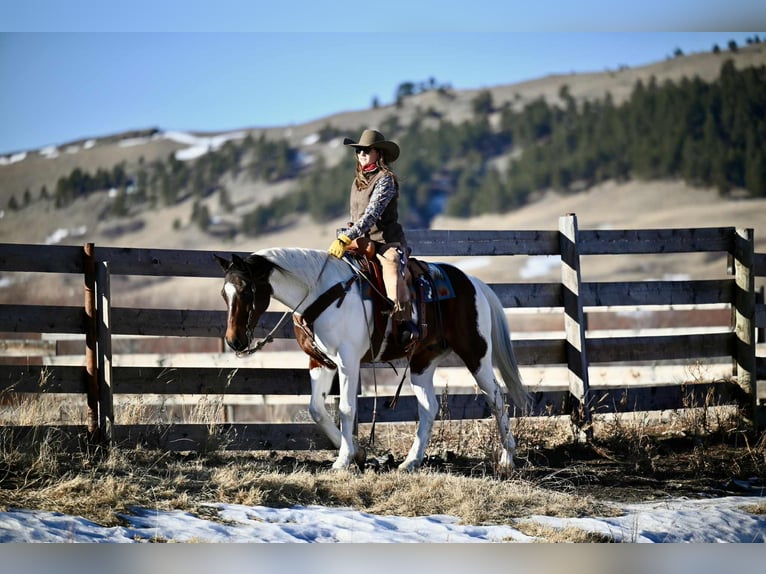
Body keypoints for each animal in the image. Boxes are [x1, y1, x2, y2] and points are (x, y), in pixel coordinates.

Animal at [215, 247, 528, 472]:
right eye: (223, 293)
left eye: (246, 290)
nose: (234, 341)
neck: (320, 292)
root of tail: (473, 283)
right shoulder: (320, 363)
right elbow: (316, 409)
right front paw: (358, 452)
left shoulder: (348, 361)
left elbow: (346, 408)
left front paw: (343, 460)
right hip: (422, 362)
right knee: (429, 407)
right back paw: (410, 462)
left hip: (476, 353)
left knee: (496, 397)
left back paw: (507, 458)